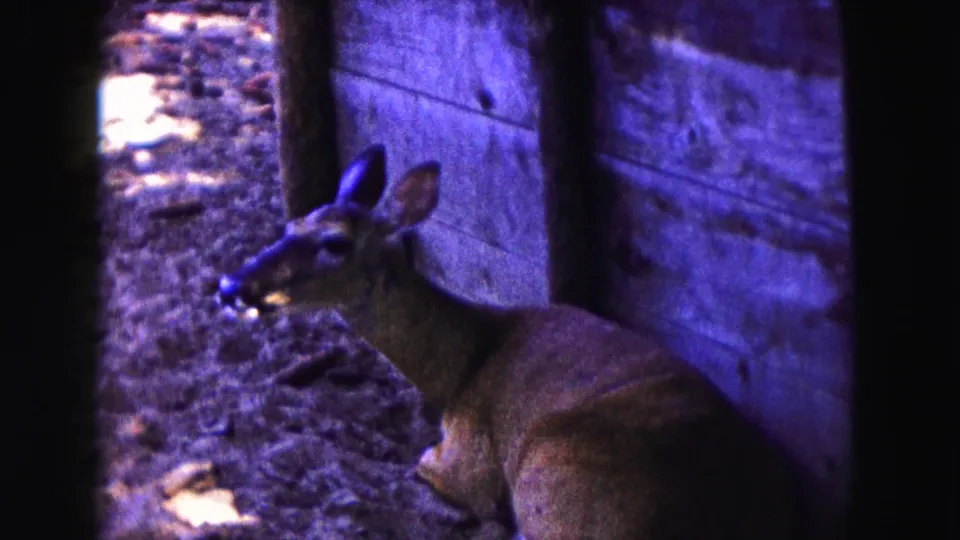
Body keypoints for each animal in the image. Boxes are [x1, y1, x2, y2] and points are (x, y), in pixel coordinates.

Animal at [215, 144, 805, 539]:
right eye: (290, 224)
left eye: (334, 242)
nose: (229, 285)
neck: (458, 367)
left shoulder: (471, 462)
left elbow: (429, 464)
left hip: (559, 480)